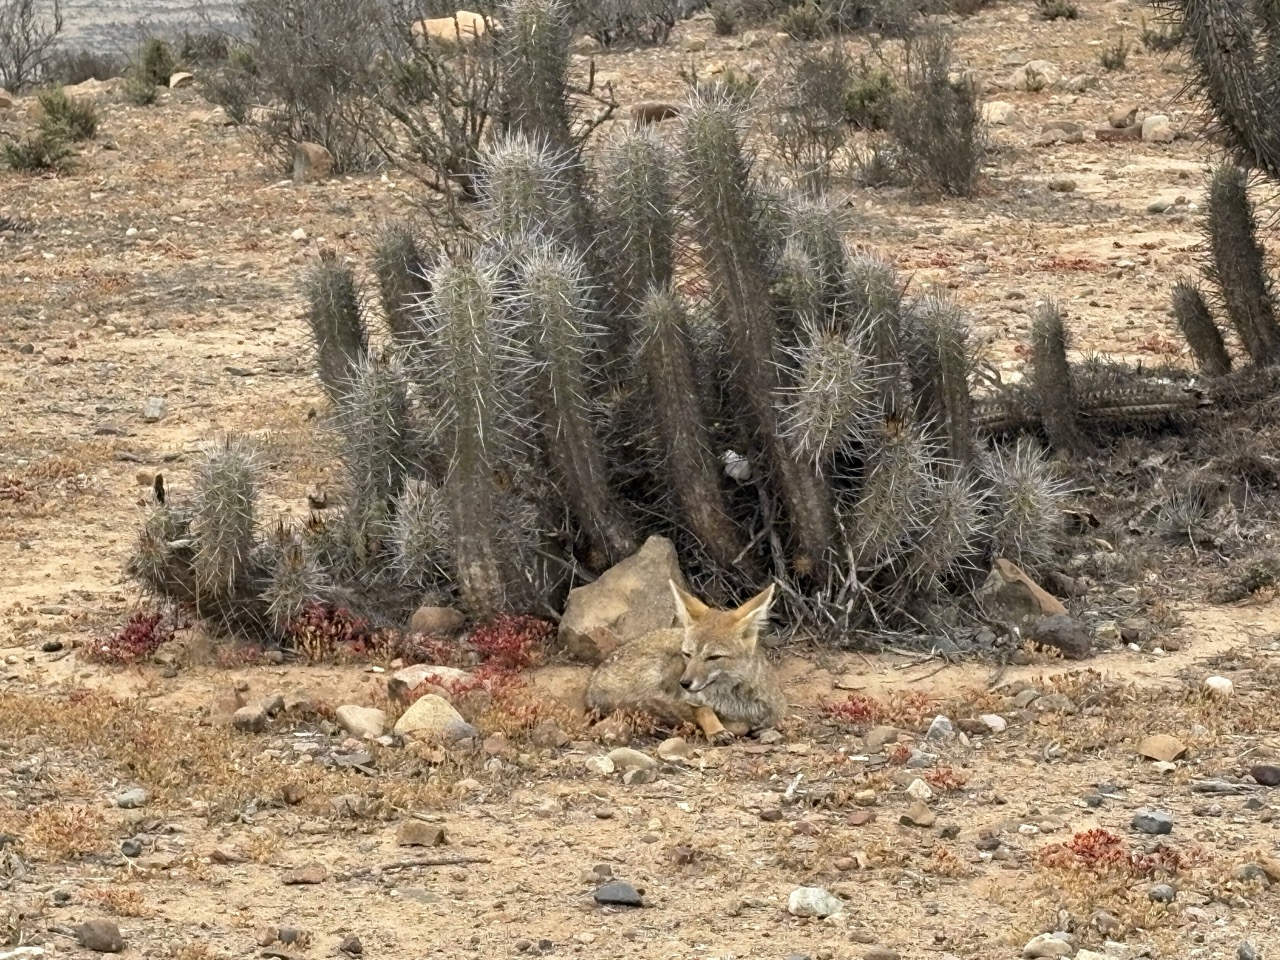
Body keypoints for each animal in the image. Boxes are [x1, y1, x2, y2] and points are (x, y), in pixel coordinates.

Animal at [585, 580, 785, 743]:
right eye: (687, 654)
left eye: (713, 657)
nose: (685, 683)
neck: (730, 701)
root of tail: (594, 681)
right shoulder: (689, 699)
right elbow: (705, 710)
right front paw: (717, 729)